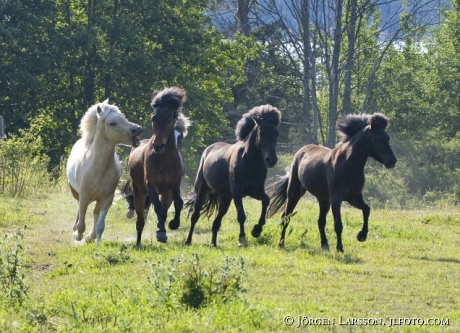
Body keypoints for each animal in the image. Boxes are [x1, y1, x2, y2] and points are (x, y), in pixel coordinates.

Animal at [65, 100, 143, 243]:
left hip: (98, 199)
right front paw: (77, 235)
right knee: (79, 211)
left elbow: (100, 224)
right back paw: (76, 231)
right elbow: (81, 224)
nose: (138, 128)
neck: (98, 168)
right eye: (112, 123)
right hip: (77, 193)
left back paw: (91, 236)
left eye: (123, 117)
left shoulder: (107, 198)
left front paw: (95, 241)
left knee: (95, 214)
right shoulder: (84, 196)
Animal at [126, 87, 190, 244]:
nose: (158, 146)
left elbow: (176, 203)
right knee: (141, 218)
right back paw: (138, 242)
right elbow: (158, 207)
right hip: (140, 192)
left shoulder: (173, 186)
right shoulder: (151, 185)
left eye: (169, 119)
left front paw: (172, 224)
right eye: (153, 118)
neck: (164, 159)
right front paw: (161, 232)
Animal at [185, 105, 282, 245]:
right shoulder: (237, 191)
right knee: (195, 215)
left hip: (225, 199)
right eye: (261, 133)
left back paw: (213, 243)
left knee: (216, 222)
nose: (271, 160)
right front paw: (242, 239)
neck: (250, 162)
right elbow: (241, 215)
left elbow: (266, 200)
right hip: (202, 191)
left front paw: (256, 230)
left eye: (276, 134)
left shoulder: (255, 191)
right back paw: (188, 241)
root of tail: (208, 150)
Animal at [268, 113, 398, 252]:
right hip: (294, 193)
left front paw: (361, 236)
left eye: (388, 138)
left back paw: (325, 245)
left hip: (323, 200)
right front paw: (340, 248)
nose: (392, 161)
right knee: (285, 217)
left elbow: (367, 209)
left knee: (320, 221)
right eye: (376, 139)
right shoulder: (336, 199)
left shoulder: (354, 197)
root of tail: (301, 151)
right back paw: (281, 244)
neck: (348, 165)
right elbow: (339, 225)